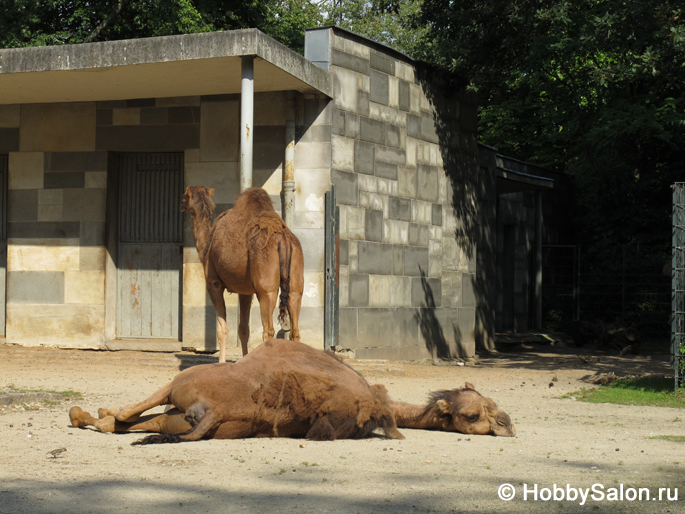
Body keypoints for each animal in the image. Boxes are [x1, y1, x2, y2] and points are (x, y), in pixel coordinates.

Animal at [180, 185, 304, 360]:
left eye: (185, 196)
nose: (180, 204)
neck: (206, 247)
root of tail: (283, 240)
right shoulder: (245, 291)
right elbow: (243, 329)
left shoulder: (214, 283)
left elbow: (222, 329)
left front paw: (222, 362)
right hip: (296, 278)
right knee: (295, 328)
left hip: (266, 289)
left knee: (268, 330)